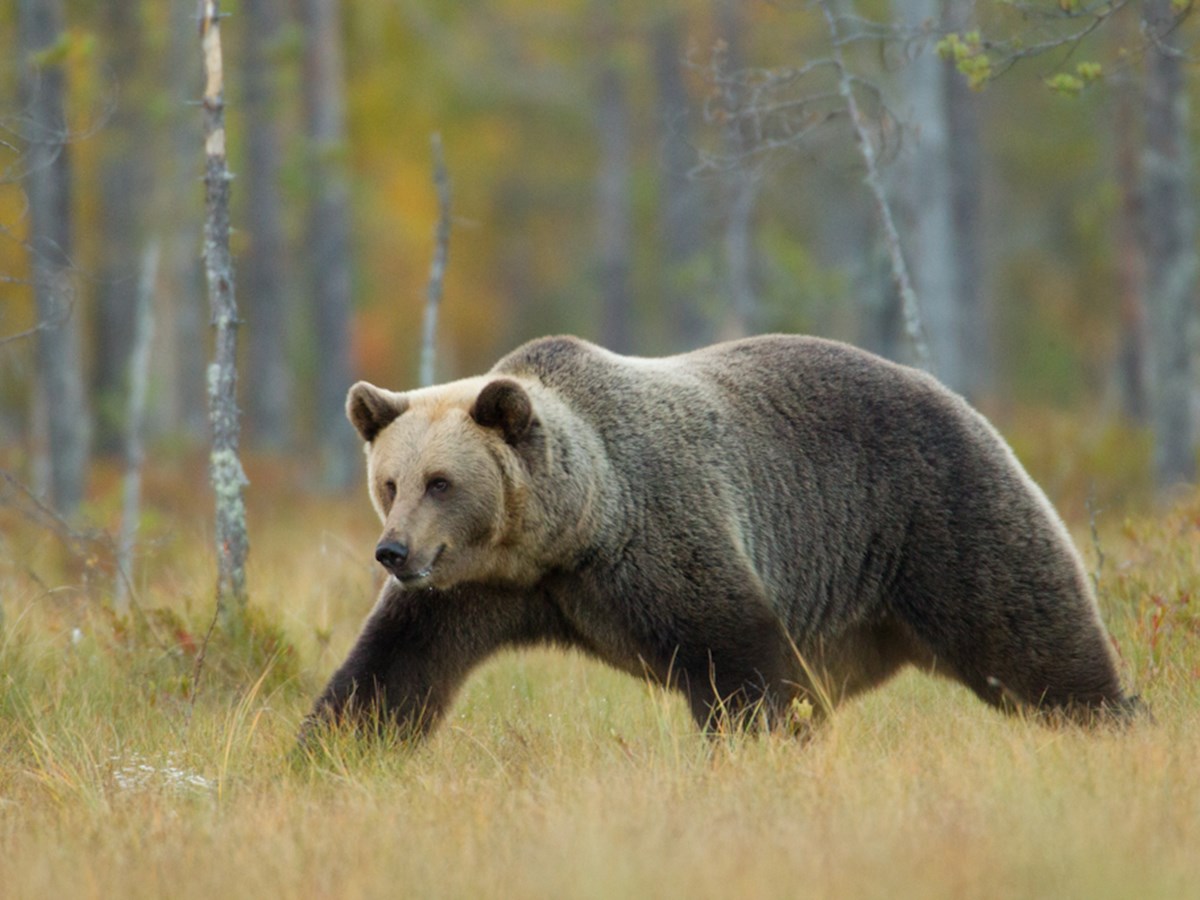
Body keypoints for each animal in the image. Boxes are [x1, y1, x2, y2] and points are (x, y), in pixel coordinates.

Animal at [307, 336, 1132, 744]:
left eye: (441, 482)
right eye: (390, 482)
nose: (392, 552)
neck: (563, 535)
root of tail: (952, 393)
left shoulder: (657, 543)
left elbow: (737, 657)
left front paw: (750, 748)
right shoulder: (473, 590)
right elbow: (390, 672)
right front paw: (328, 750)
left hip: (931, 515)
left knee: (1026, 635)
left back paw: (1112, 719)